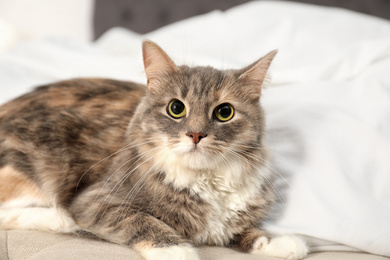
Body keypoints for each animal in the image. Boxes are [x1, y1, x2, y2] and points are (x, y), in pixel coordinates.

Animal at [0, 40, 308, 260]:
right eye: (176, 108)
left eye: (224, 112)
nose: (196, 134)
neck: (206, 180)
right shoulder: (95, 199)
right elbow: (143, 220)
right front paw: (177, 250)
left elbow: (248, 231)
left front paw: (283, 243)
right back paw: (59, 219)